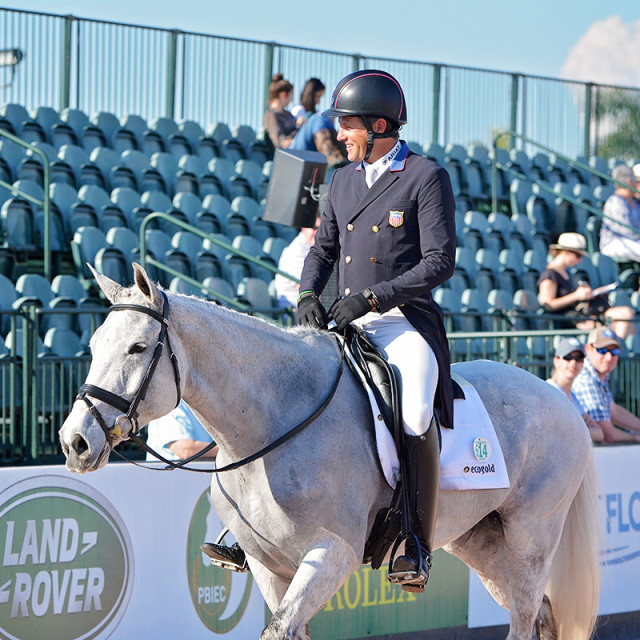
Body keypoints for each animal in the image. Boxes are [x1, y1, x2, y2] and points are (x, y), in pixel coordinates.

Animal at [58, 264, 600, 640]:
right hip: (480, 541)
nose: (75, 442)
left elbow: (279, 629)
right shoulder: (269, 566)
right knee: (540, 614)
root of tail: (559, 398)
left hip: (531, 537)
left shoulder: (332, 554)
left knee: (526, 616)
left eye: (136, 348)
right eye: (94, 344)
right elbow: (290, 629)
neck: (273, 422)